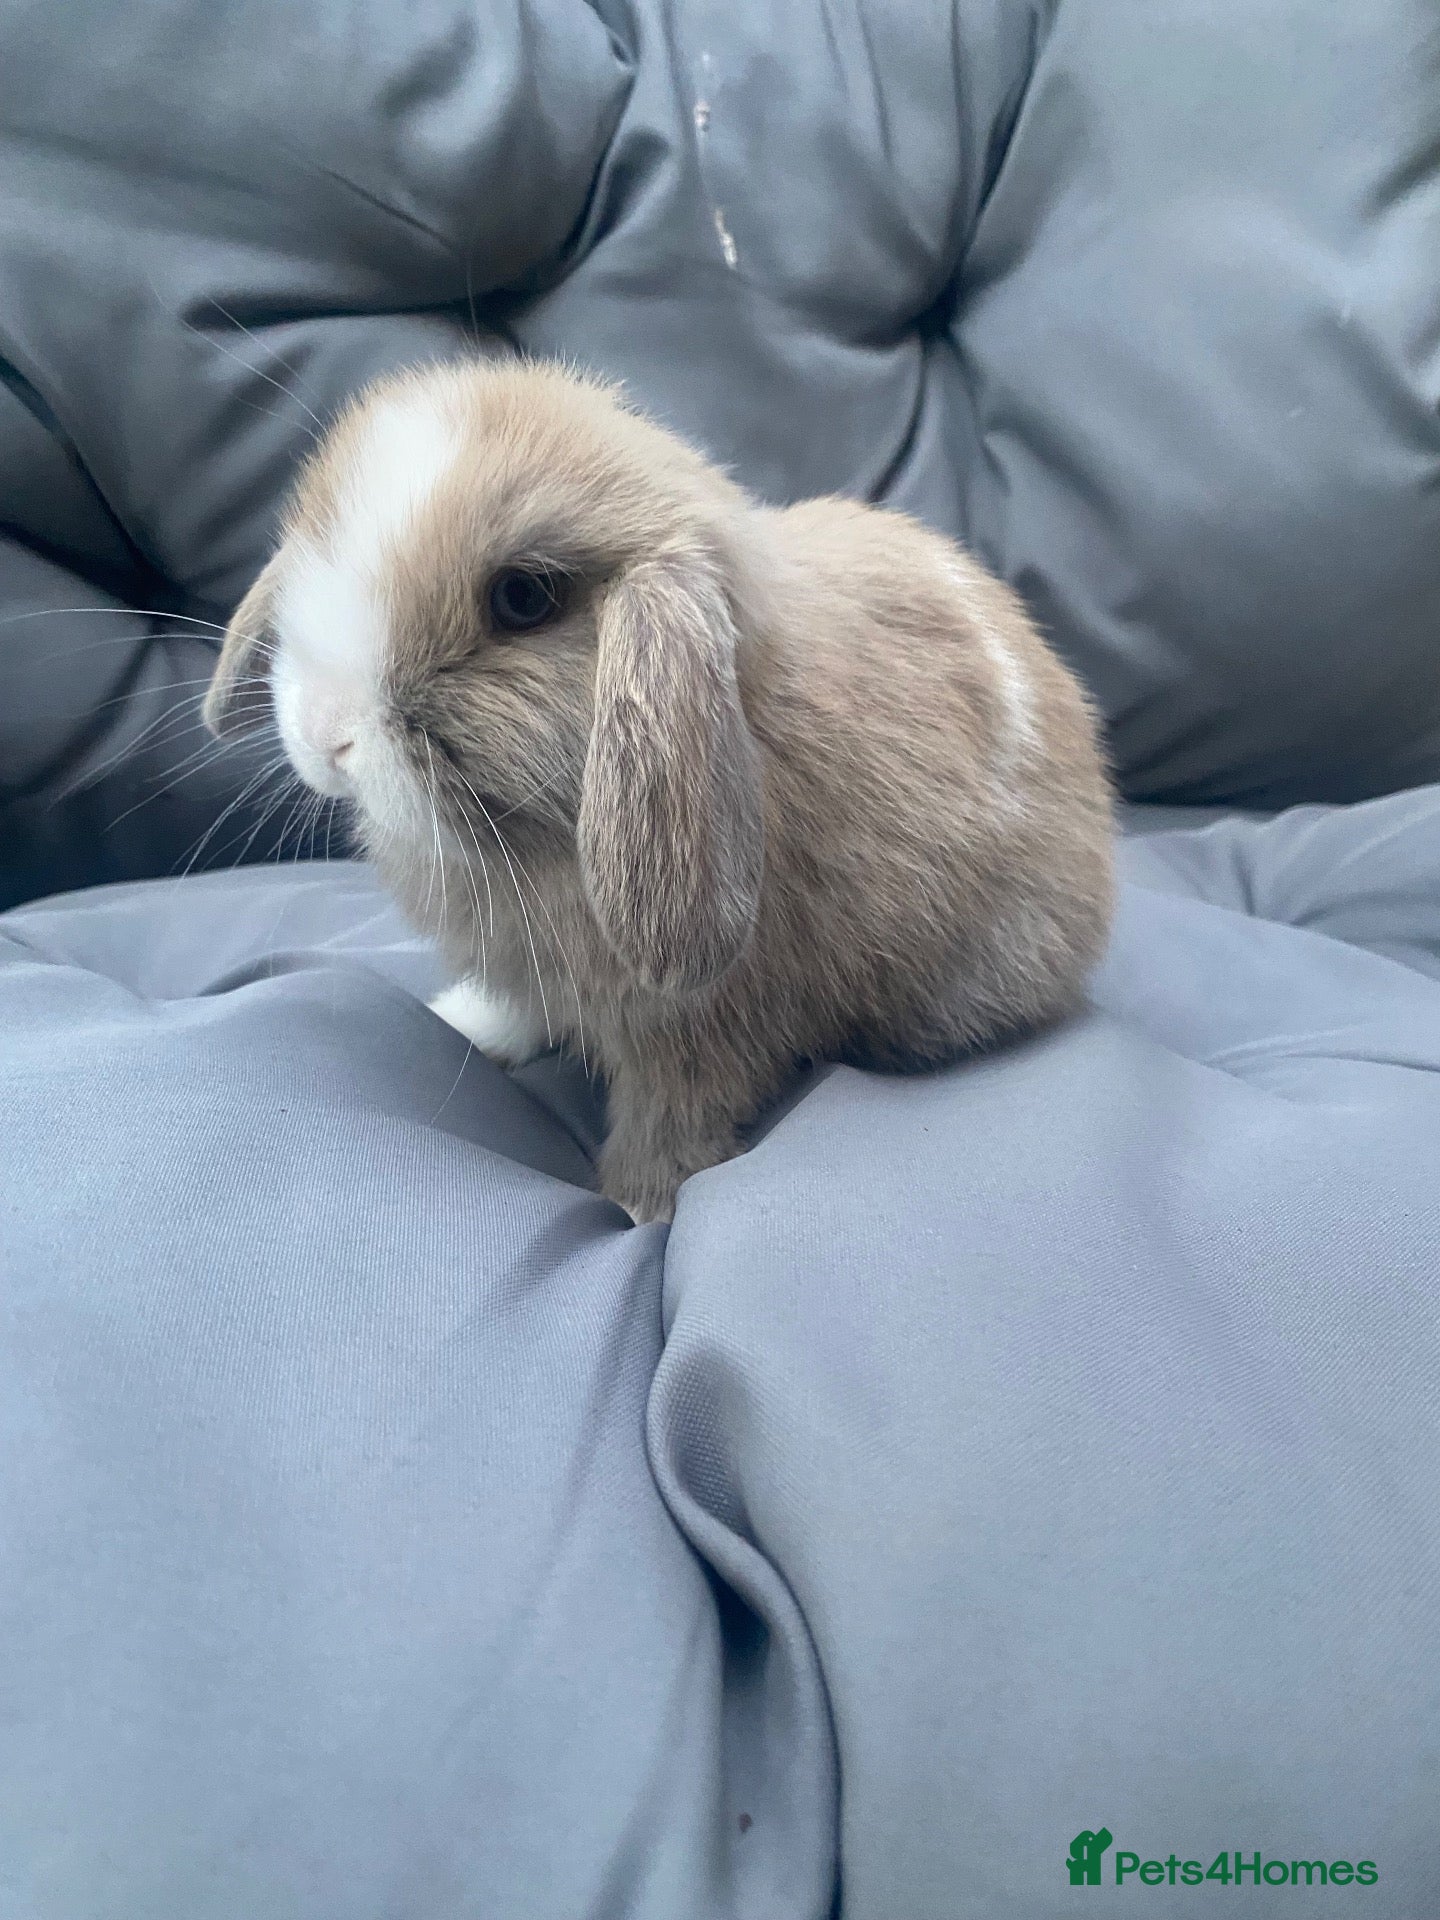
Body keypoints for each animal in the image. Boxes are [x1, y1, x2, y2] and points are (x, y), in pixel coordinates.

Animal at [204, 358, 1115, 1223]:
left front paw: (637, 1204)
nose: (327, 733)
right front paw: (474, 1026)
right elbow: (524, 1009)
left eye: (523, 598)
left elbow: (672, 1116)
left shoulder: (702, 1028)